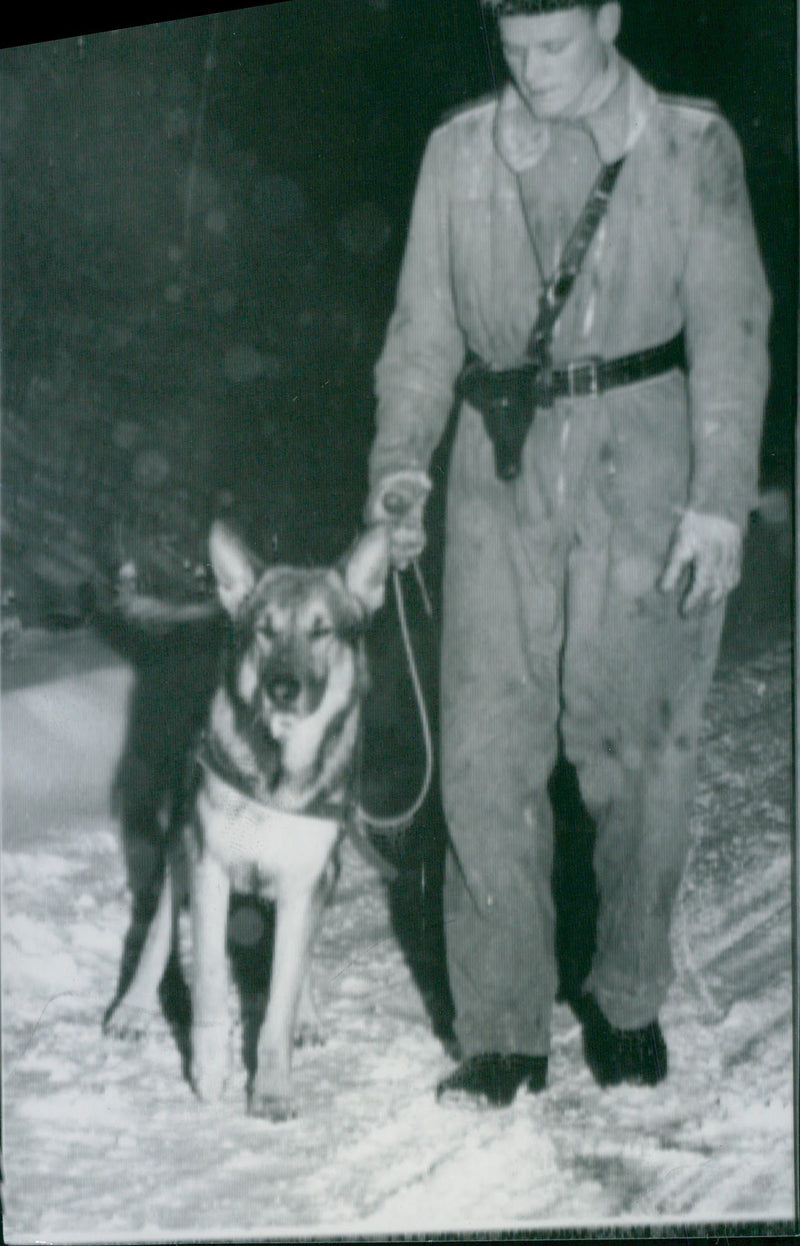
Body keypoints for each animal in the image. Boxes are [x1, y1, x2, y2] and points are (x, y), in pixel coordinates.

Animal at [104, 515, 391, 1121]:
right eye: (265, 630)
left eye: (322, 631)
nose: (283, 688)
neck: (278, 772)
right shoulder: (209, 863)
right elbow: (211, 979)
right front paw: (210, 1068)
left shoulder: (306, 880)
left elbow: (280, 998)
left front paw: (273, 1088)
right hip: (178, 840)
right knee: (158, 928)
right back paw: (133, 1010)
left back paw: (308, 1013)